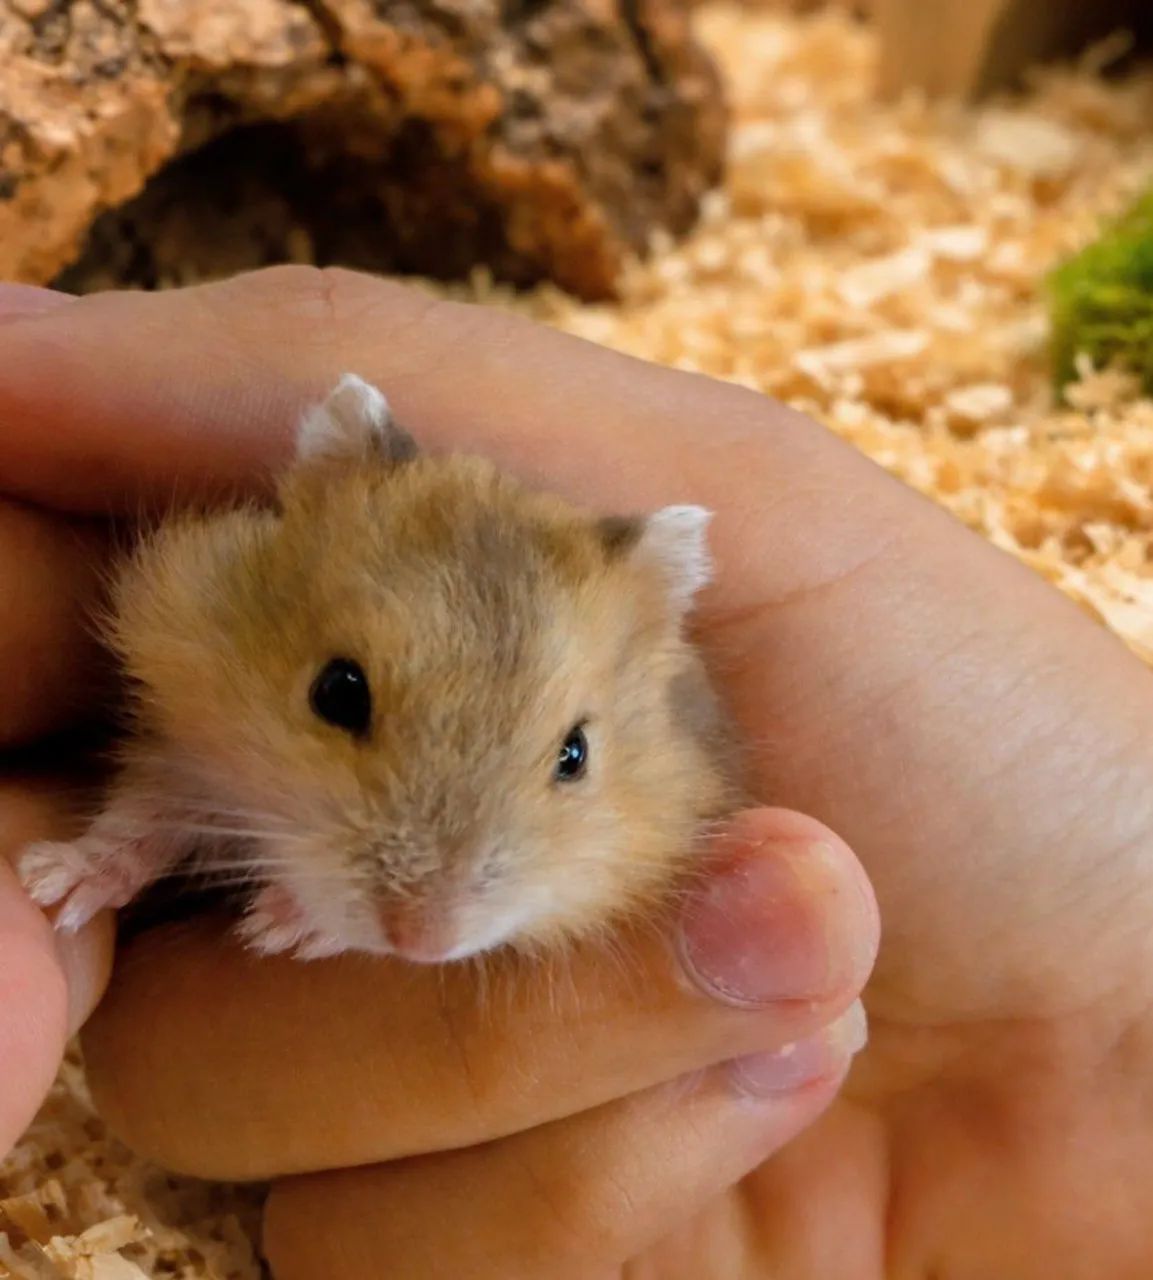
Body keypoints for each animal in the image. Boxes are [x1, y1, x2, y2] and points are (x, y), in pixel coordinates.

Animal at [18, 375, 734, 964]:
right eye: (336, 692)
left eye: (575, 755)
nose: (423, 943)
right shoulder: (183, 745)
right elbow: (139, 821)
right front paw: (50, 890)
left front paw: (277, 926)